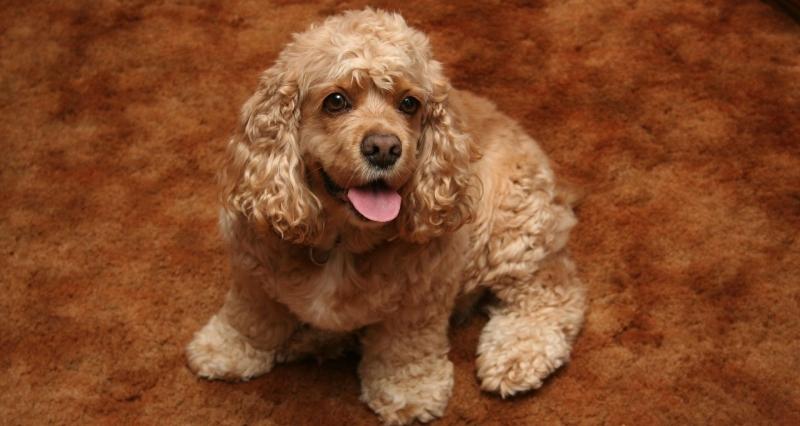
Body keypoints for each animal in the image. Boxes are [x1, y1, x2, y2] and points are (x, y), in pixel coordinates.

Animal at [186, 8, 585, 425]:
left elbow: (403, 347)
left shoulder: (423, 295)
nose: (384, 148)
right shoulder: (252, 267)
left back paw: (516, 355)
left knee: (554, 294)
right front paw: (227, 349)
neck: (342, 241)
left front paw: (408, 392)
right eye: (336, 100)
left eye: (409, 103)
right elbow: (250, 314)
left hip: (510, 231)